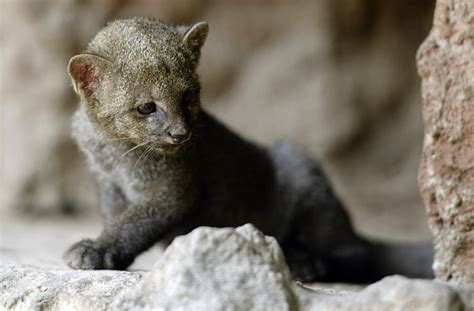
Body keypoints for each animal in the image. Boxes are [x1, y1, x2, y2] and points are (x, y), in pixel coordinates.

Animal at [64, 18, 434, 284]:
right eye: (145, 107)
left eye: (188, 96)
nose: (180, 133)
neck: (115, 153)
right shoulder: (107, 185)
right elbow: (118, 218)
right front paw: (107, 253)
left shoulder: (174, 189)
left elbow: (135, 222)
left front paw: (95, 249)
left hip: (302, 171)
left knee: (358, 253)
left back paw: (305, 264)